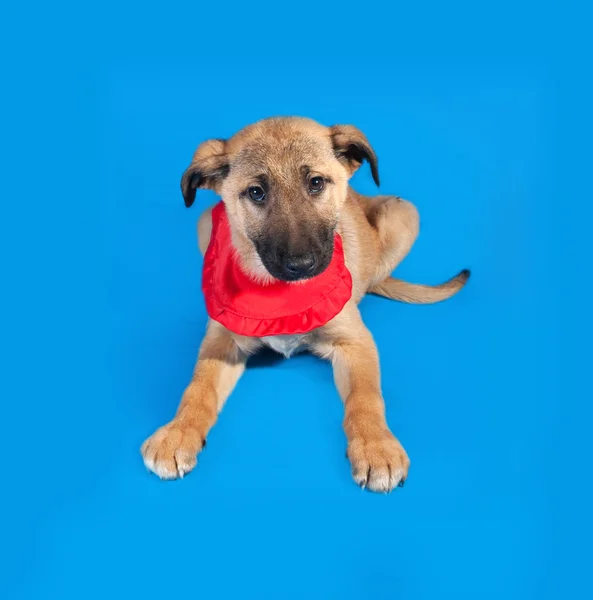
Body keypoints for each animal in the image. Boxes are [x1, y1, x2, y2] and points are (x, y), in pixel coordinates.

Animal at [141, 116, 470, 492]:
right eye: (256, 192)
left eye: (315, 183)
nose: (301, 265)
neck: (283, 296)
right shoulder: (221, 341)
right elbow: (197, 387)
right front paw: (178, 433)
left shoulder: (355, 342)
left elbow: (366, 396)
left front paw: (376, 447)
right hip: (208, 220)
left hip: (404, 212)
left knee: (377, 275)